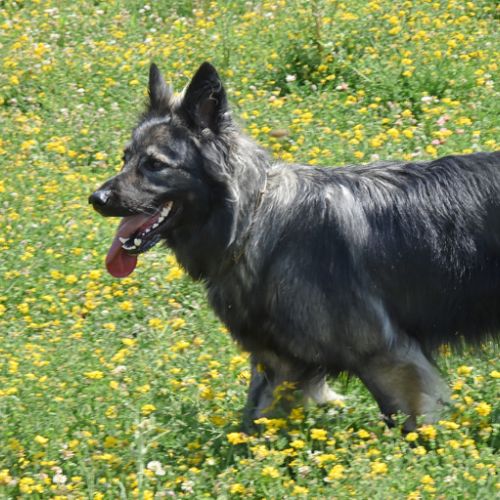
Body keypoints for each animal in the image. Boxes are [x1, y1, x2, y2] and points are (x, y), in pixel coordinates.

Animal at [90, 62, 500, 431]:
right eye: (126, 158)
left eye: (154, 164)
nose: (96, 199)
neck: (251, 221)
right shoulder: (278, 365)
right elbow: (252, 424)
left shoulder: (388, 358)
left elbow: (408, 425)